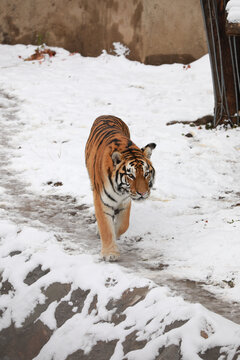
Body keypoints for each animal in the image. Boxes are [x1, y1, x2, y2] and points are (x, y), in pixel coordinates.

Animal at [85, 115, 157, 262]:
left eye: (146, 173)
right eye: (131, 175)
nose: (143, 193)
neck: (120, 190)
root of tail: (106, 115)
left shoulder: (125, 202)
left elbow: (123, 225)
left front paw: (114, 234)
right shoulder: (101, 201)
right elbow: (106, 228)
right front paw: (110, 253)